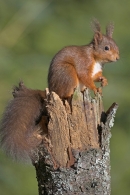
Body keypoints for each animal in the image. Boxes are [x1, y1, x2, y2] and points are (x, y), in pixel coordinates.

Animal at [0, 20, 119, 162]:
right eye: (106, 48)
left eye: (116, 45)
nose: (117, 58)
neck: (95, 59)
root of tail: (53, 89)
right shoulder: (83, 63)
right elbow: (85, 76)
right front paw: (95, 88)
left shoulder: (95, 71)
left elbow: (95, 76)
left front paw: (103, 80)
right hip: (67, 73)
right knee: (65, 93)